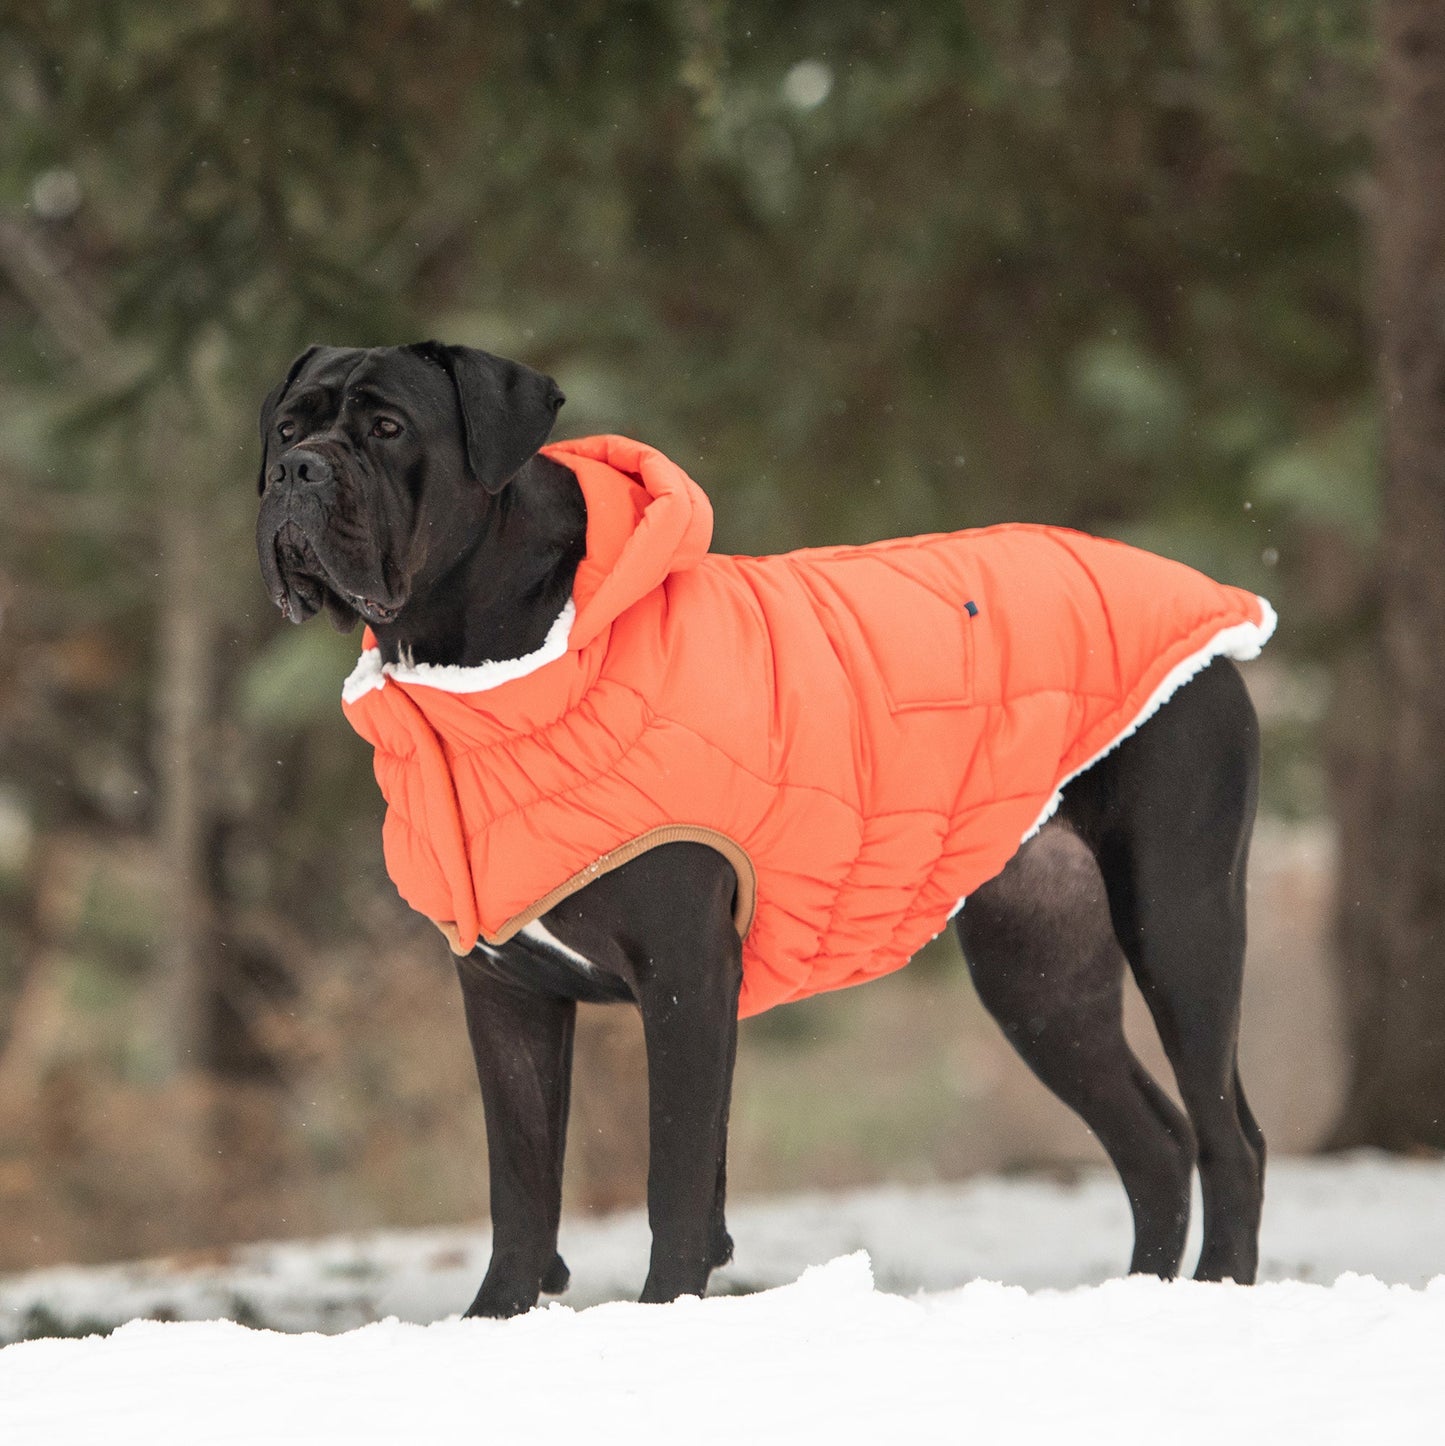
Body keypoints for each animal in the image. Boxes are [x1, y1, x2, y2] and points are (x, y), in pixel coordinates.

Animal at [257, 344, 1267, 1318]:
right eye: (287, 428)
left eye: (388, 427)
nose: (298, 472)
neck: (480, 675)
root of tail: (1197, 591)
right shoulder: (506, 992)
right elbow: (521, 1181)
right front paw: (495, 1318)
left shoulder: (684, 974)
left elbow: (674, 1177)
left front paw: (662, 1313)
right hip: (1038, 971)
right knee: (1154, 1141)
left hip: (1177, 916)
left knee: (1230, 1135)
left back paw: (1217, 1290)